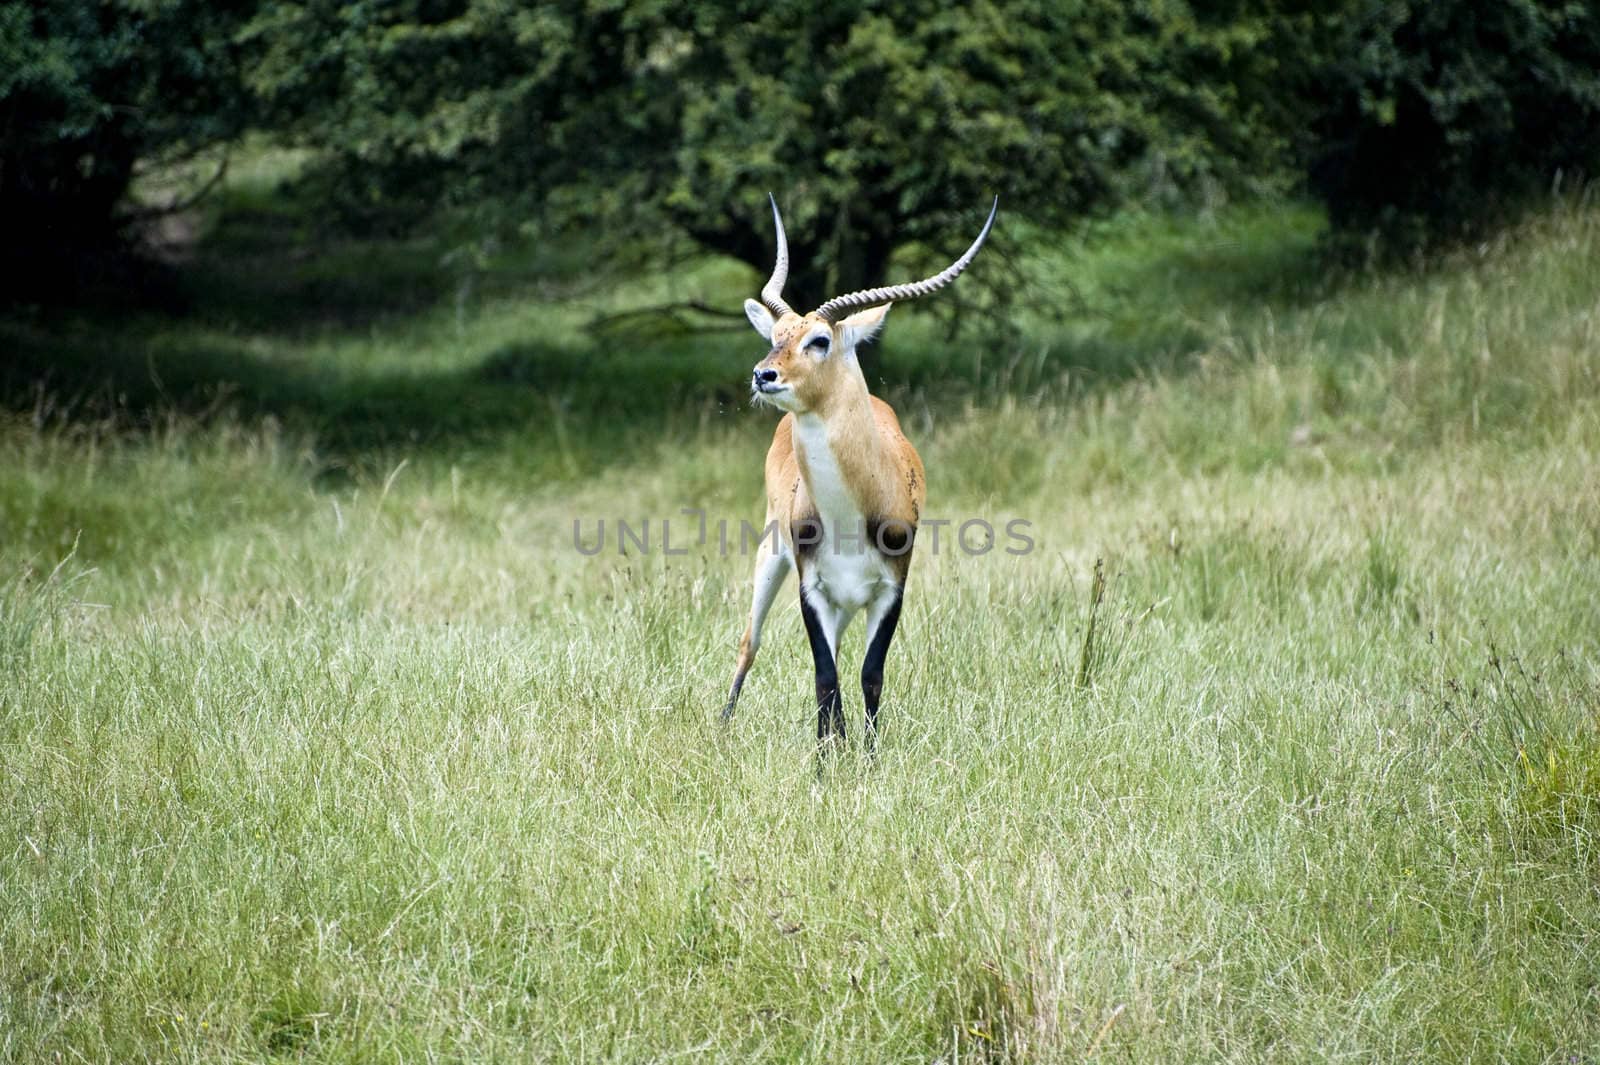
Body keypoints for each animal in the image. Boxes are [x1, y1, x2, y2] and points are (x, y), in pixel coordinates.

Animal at [726, 196, 998, 745]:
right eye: (777, 335)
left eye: (819, 340)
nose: (763, 375)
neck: (850, 515)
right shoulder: (812, 590)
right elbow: (825, 676)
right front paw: (827, 758)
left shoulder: (891, 590)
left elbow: (869, 673)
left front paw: (867, 755)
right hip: (772, 554)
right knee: (750, 639)